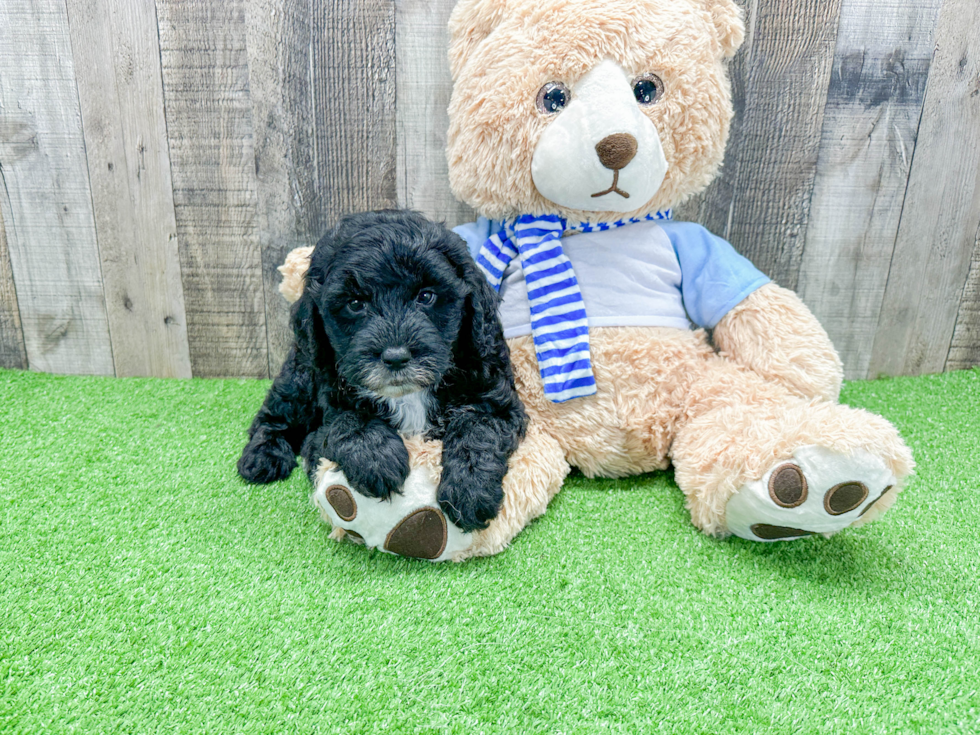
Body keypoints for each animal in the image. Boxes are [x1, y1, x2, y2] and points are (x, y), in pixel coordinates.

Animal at [237, 210, 528, 532]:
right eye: (354, 303)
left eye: (426, 296)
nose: (396, 357)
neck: (408, 395)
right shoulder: (323, 421)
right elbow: (348, 421)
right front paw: (378, 460)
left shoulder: (495, 397)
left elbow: (478, 428)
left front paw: (470, 490)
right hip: (301, 374)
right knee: (274, 414)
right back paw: (261, 457)